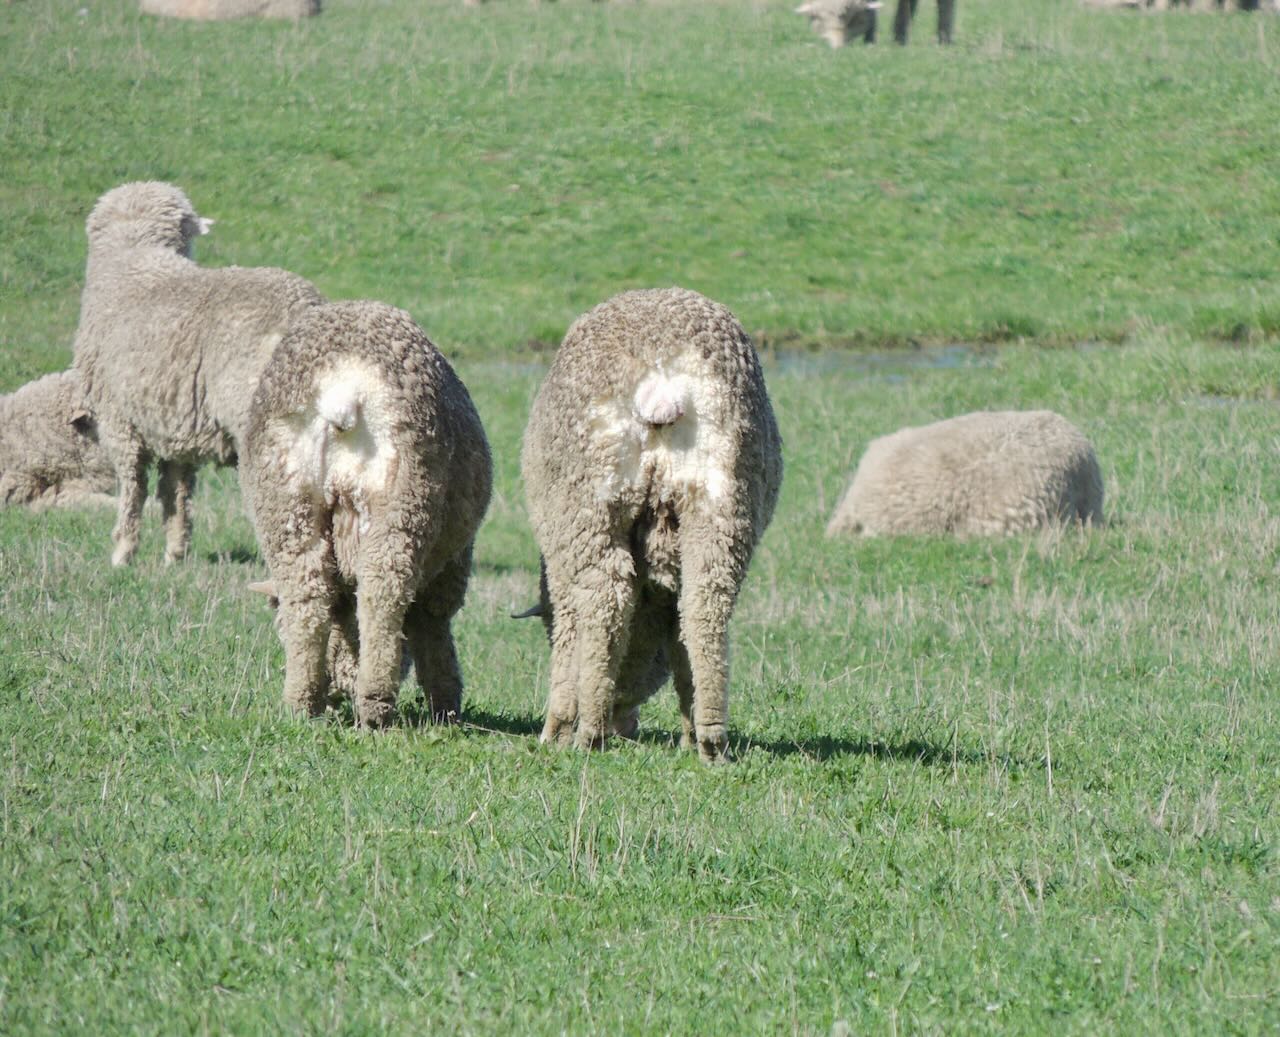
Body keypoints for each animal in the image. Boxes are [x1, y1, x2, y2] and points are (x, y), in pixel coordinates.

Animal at [71, 179, 325, 565]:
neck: (135, 258)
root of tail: (302, 307)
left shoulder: (118, 420)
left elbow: (133, 488)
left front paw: (122, 553)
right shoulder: (176, 427)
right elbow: (176, 491)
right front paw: (174, 553)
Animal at [241, 299, 491, 727]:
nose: (336, 694)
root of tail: (341, 389)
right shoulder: (451, 567)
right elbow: (433, 630)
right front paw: (446, 706)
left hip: (285, 500)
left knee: (308, 598)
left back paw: (301, 704)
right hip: (402, 500)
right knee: (381, 594)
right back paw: (375, 705)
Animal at [517, 286, 778, 757]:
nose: (627, 722)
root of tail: (664, 385)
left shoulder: (564, 564)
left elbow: (569, 633)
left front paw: (558, 728)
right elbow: (677, 643)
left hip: (588, 508)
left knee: (606, 598)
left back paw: (588, 732)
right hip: (725, 505)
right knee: (703, 607)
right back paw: (708, 738)